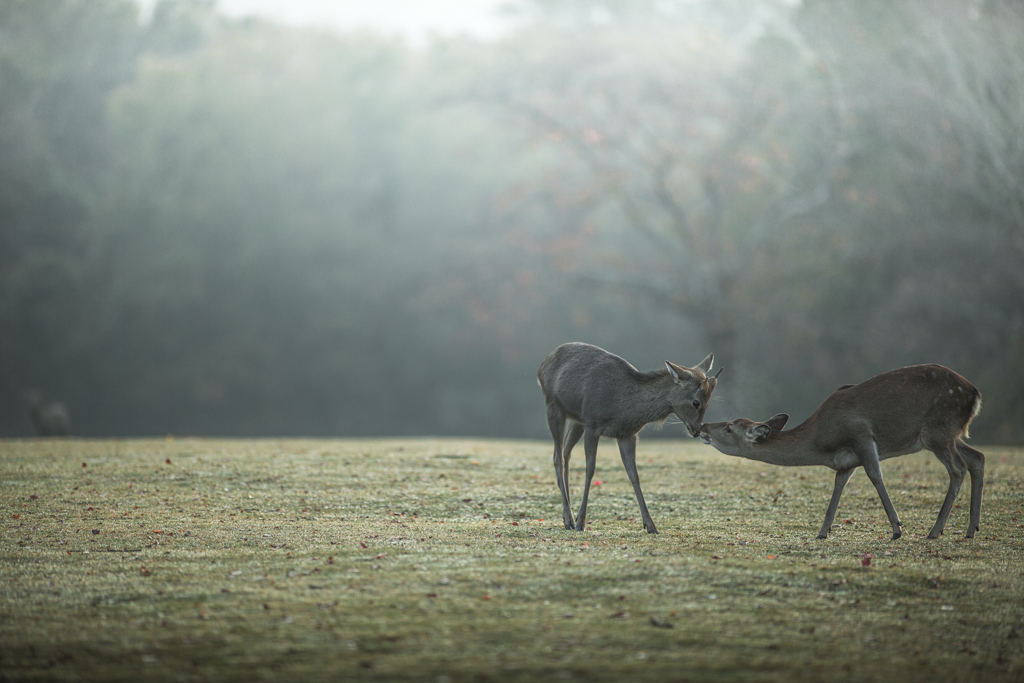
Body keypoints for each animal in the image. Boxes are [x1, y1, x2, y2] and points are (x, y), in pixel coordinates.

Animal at [536, 342, 720, 532]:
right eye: (696, 402)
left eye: (708, 402)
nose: (697, 430)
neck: (623, 408)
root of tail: (543, 364)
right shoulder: (592, 424)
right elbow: (590, 469)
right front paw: (581, 522)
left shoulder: (627, 434)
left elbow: (634, 474)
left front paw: (650, 525)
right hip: (553, 406)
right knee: (557, 457)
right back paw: (569, 519)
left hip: (576, 420)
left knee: (566, 453)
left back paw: (568, 515)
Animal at [696, 362, 983, 540]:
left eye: (729, 428)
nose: (702, 428)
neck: (821, 444)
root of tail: (975, 394)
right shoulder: (845, 461)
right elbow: (838, 485)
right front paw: (823, 531)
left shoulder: (862, 435)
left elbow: (875, 475)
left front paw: (897, 528)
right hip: (953, 433)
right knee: (977, 458)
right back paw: (971, 529)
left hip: (938, 431)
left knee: (958, 468)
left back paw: (935, 530)